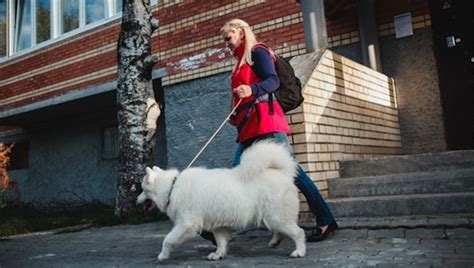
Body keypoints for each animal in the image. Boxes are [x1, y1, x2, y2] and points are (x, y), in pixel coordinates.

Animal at [137, 141, 308, 260]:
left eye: (142, 190)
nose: (136, 199)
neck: (171, 187)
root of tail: (283, 173)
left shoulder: (187, 224)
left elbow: (168, 239)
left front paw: (163, 255)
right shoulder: (217, 224)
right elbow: (221, 241)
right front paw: (218, 254)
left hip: (276, 216)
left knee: (298, 232)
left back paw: (299, 251)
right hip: (273, 217)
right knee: (282, 230)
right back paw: (275, 241)